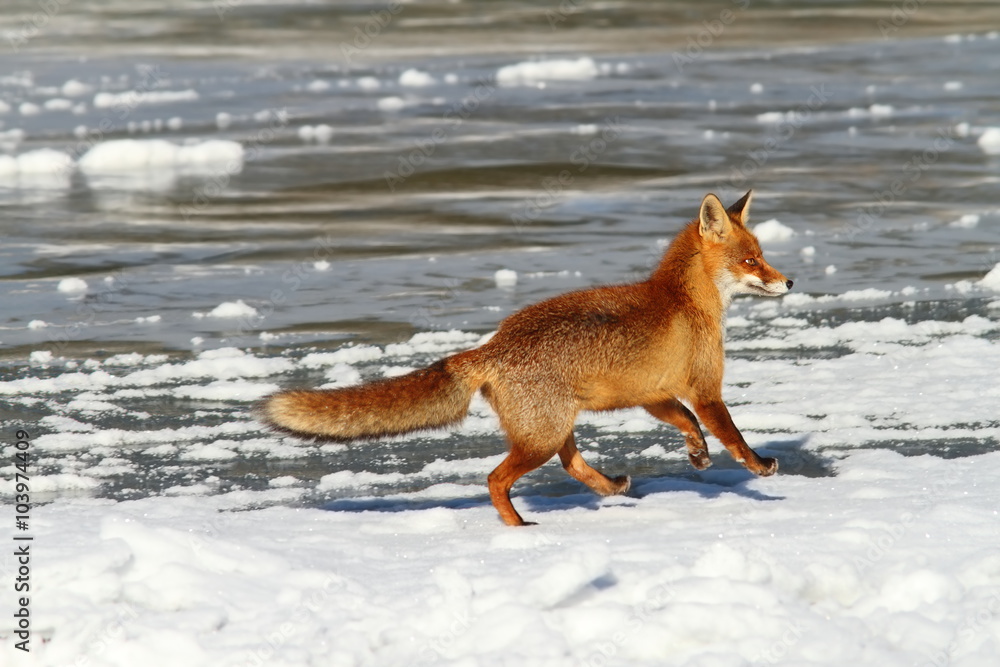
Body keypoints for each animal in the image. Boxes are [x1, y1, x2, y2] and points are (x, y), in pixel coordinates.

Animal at [262, 192, 792, 528]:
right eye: (751, 261)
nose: (789, 282)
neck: (684, 301)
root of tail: (491, 345)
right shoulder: (704, 388)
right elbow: (730, 434)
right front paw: (759, 468)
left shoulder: (653, 394)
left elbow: (685, 422)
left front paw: (697, 454)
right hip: (541, 437)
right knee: (496, 478)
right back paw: (518, 525)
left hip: (555, 429)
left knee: (572, 465)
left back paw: (610, 487)